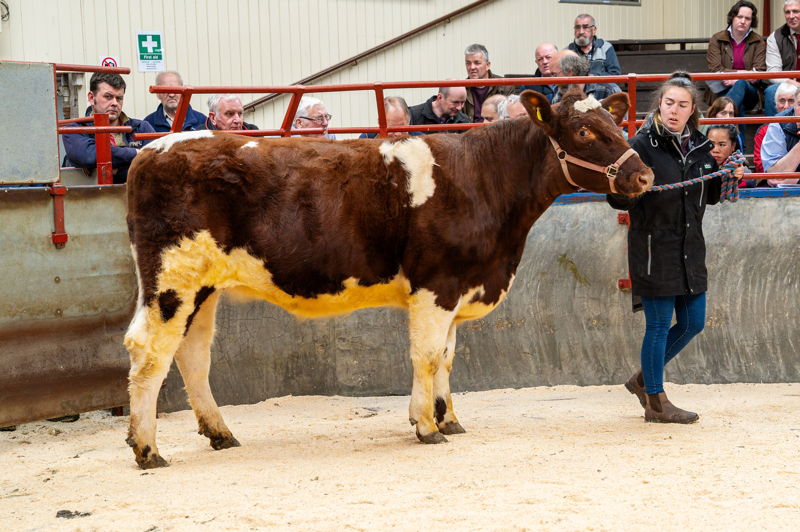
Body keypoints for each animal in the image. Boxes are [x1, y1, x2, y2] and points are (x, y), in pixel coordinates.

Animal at [123, 89, 648, 468]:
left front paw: (448, 419)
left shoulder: (457, 288)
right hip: (171, 278)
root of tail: (156, 149)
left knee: (192, 355)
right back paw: (147, 449)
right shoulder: (436, 285)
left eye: (614, 124)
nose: (643, 177)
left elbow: (447, 358)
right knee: (149, 350)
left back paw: (220, 433)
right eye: (583, 130)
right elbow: (427, 356)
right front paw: (426, 426)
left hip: (203, 286)